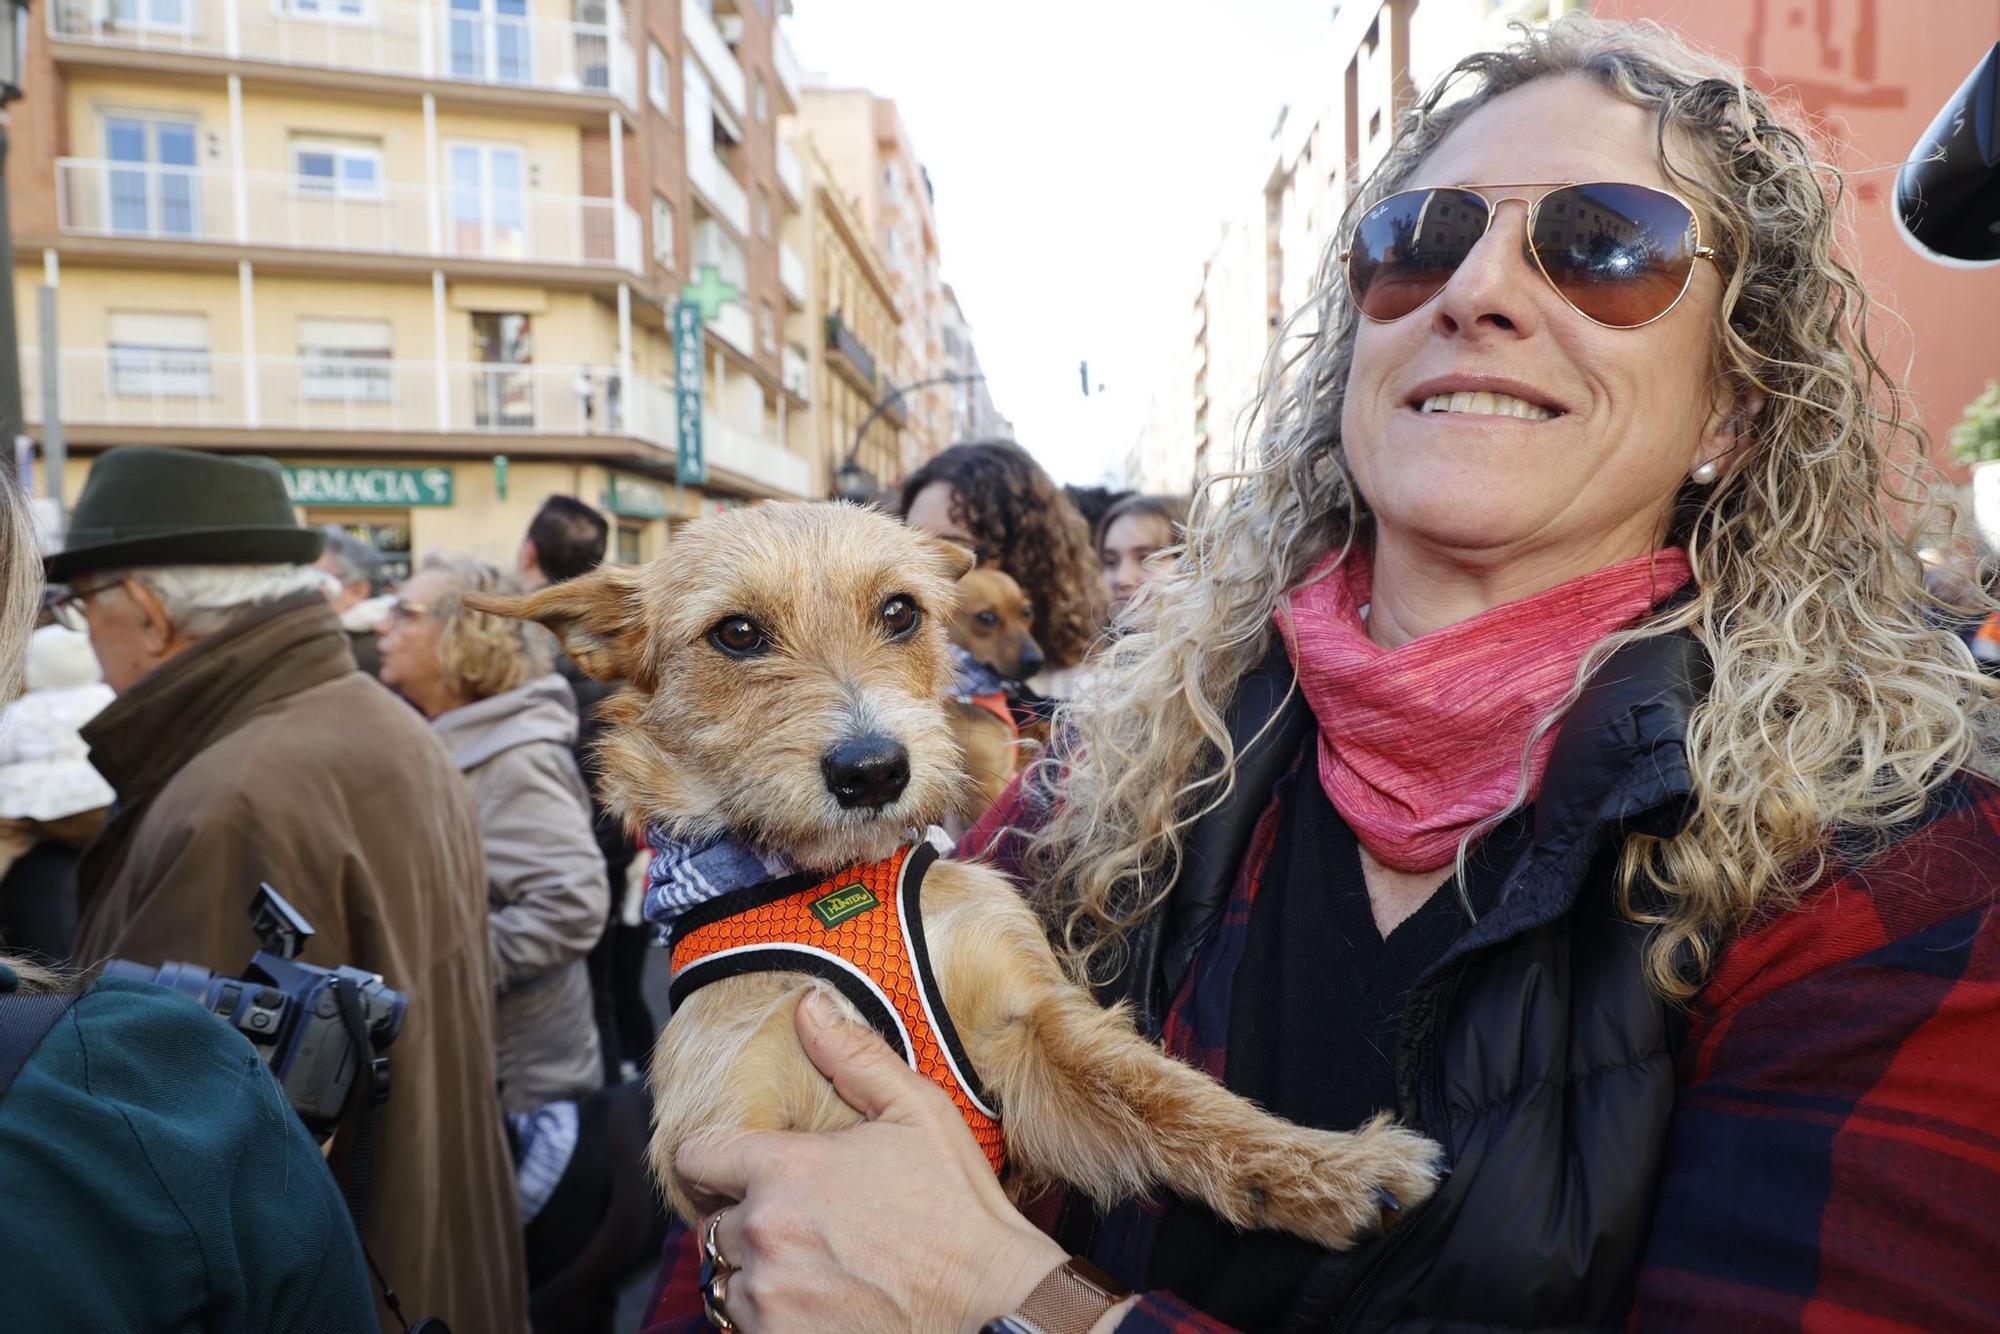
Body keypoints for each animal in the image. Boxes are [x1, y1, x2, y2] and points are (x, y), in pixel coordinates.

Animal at [468, 506, 1440, 1256]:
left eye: (901, 611)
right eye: (736, 633)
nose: (872, 771)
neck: (819, 882)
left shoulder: (1030, 1028)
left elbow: (1174, 1098)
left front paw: (1331, 1169)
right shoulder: (729, 1124)